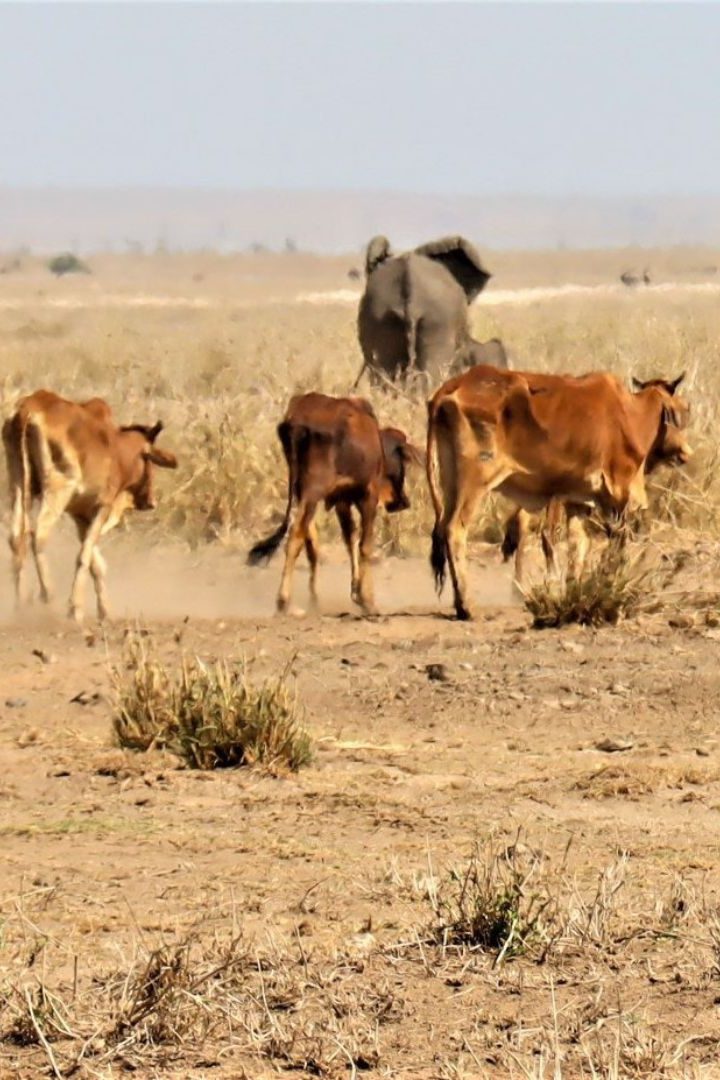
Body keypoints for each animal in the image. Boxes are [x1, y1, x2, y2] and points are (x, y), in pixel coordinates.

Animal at [3, 393, 177, 622]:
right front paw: (75, 608)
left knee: (16, 536)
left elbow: (95, 562)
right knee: (39, 534)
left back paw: (21, 604)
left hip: (18, 483)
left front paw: (105, 610)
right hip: (58, 488)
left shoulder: (81, 515)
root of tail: (27, 409)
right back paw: (47, 593)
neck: (117, 448)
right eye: (148, 460)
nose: (150, 501)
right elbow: (85, 556)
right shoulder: (102, 507)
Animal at [248, 395, 418, 617]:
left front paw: (355, 591)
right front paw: (367, 600)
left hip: (302, 493)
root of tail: (296, 422)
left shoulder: (340, 501)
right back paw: (283, 601)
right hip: (313, 492)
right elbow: (364, 545)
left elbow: (349, 539)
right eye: (402, 463)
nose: (402, 502)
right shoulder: (367, 496)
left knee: (306, 539)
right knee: (295, 537)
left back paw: (308, 599)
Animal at [427, 365, 690, 617]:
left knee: (445, 527)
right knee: (455, 530)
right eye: (683, 410)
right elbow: (616, 545)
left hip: (450, 480)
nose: (686, 453)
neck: (633, 414)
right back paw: (467, 606)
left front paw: (576, 592)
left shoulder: (579, 501)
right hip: (475, 480)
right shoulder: (618, 494)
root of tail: (453, 386)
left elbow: (578, 545)